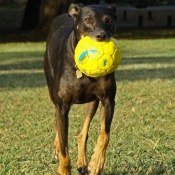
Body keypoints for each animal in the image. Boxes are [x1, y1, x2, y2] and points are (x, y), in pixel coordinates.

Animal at [43, 3, 117, 175]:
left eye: (109, 20)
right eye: (88, 19)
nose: (101, 35)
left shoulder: (108, 100)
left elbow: (105, 134)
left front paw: (96, 162)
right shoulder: (62, 105)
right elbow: (64, 145)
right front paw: (63, 169)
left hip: (92, 101)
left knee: (83, 132)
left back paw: (83, 163)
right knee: (58, 122)